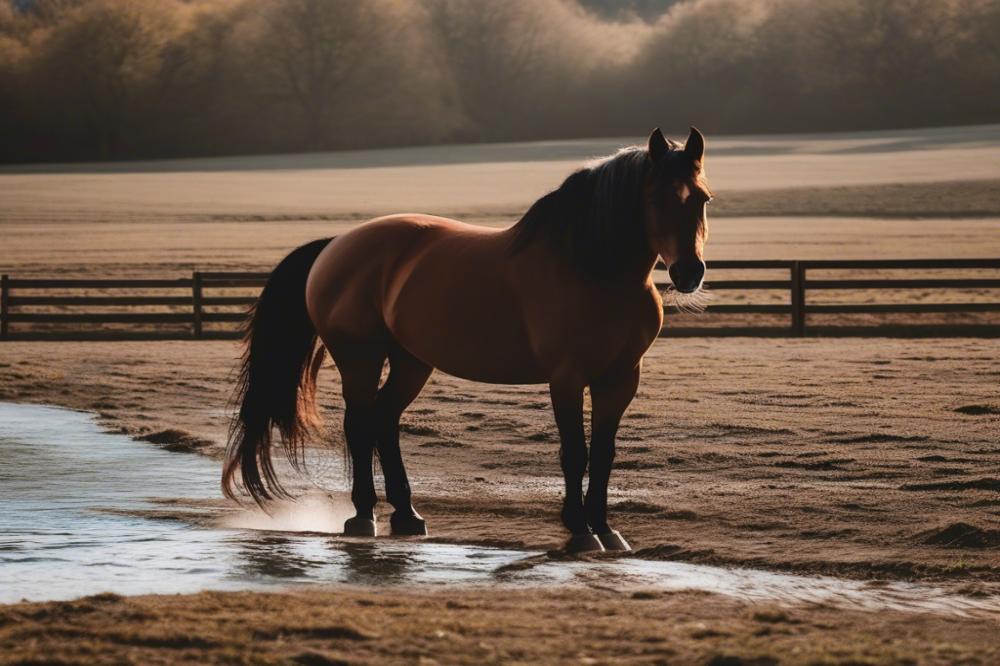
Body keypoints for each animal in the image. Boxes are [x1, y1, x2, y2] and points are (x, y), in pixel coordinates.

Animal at [226, 127, 712, 552]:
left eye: (703, 199)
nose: (689, 272)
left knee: (384, 420)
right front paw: (579, 531)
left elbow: (605, 455)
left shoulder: (620, 380)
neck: (594, 270)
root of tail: (337, 243)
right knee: (360, 425)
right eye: (656, 197)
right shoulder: (567, 379)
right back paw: (363, 516)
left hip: (411, 362)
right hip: (359, 358)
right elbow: (575, 453)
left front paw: (607, 530)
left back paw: (407, 514)